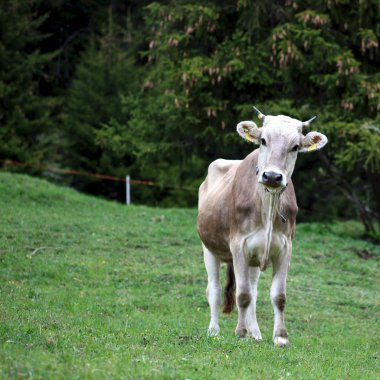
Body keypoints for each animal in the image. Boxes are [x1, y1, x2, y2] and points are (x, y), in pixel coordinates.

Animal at [196, 107, 326, 348]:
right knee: (215, 290)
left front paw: (280, 336)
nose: (272, 176)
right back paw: (214, 330)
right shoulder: (239, 246)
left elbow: (278, 296)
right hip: (209, 248)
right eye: (263, 140)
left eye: (295, 146)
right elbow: (242, 295)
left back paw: (255, 332)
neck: (268, 204)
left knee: (254, 292)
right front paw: (240, 333)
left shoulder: (285, 248)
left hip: (253, 260)